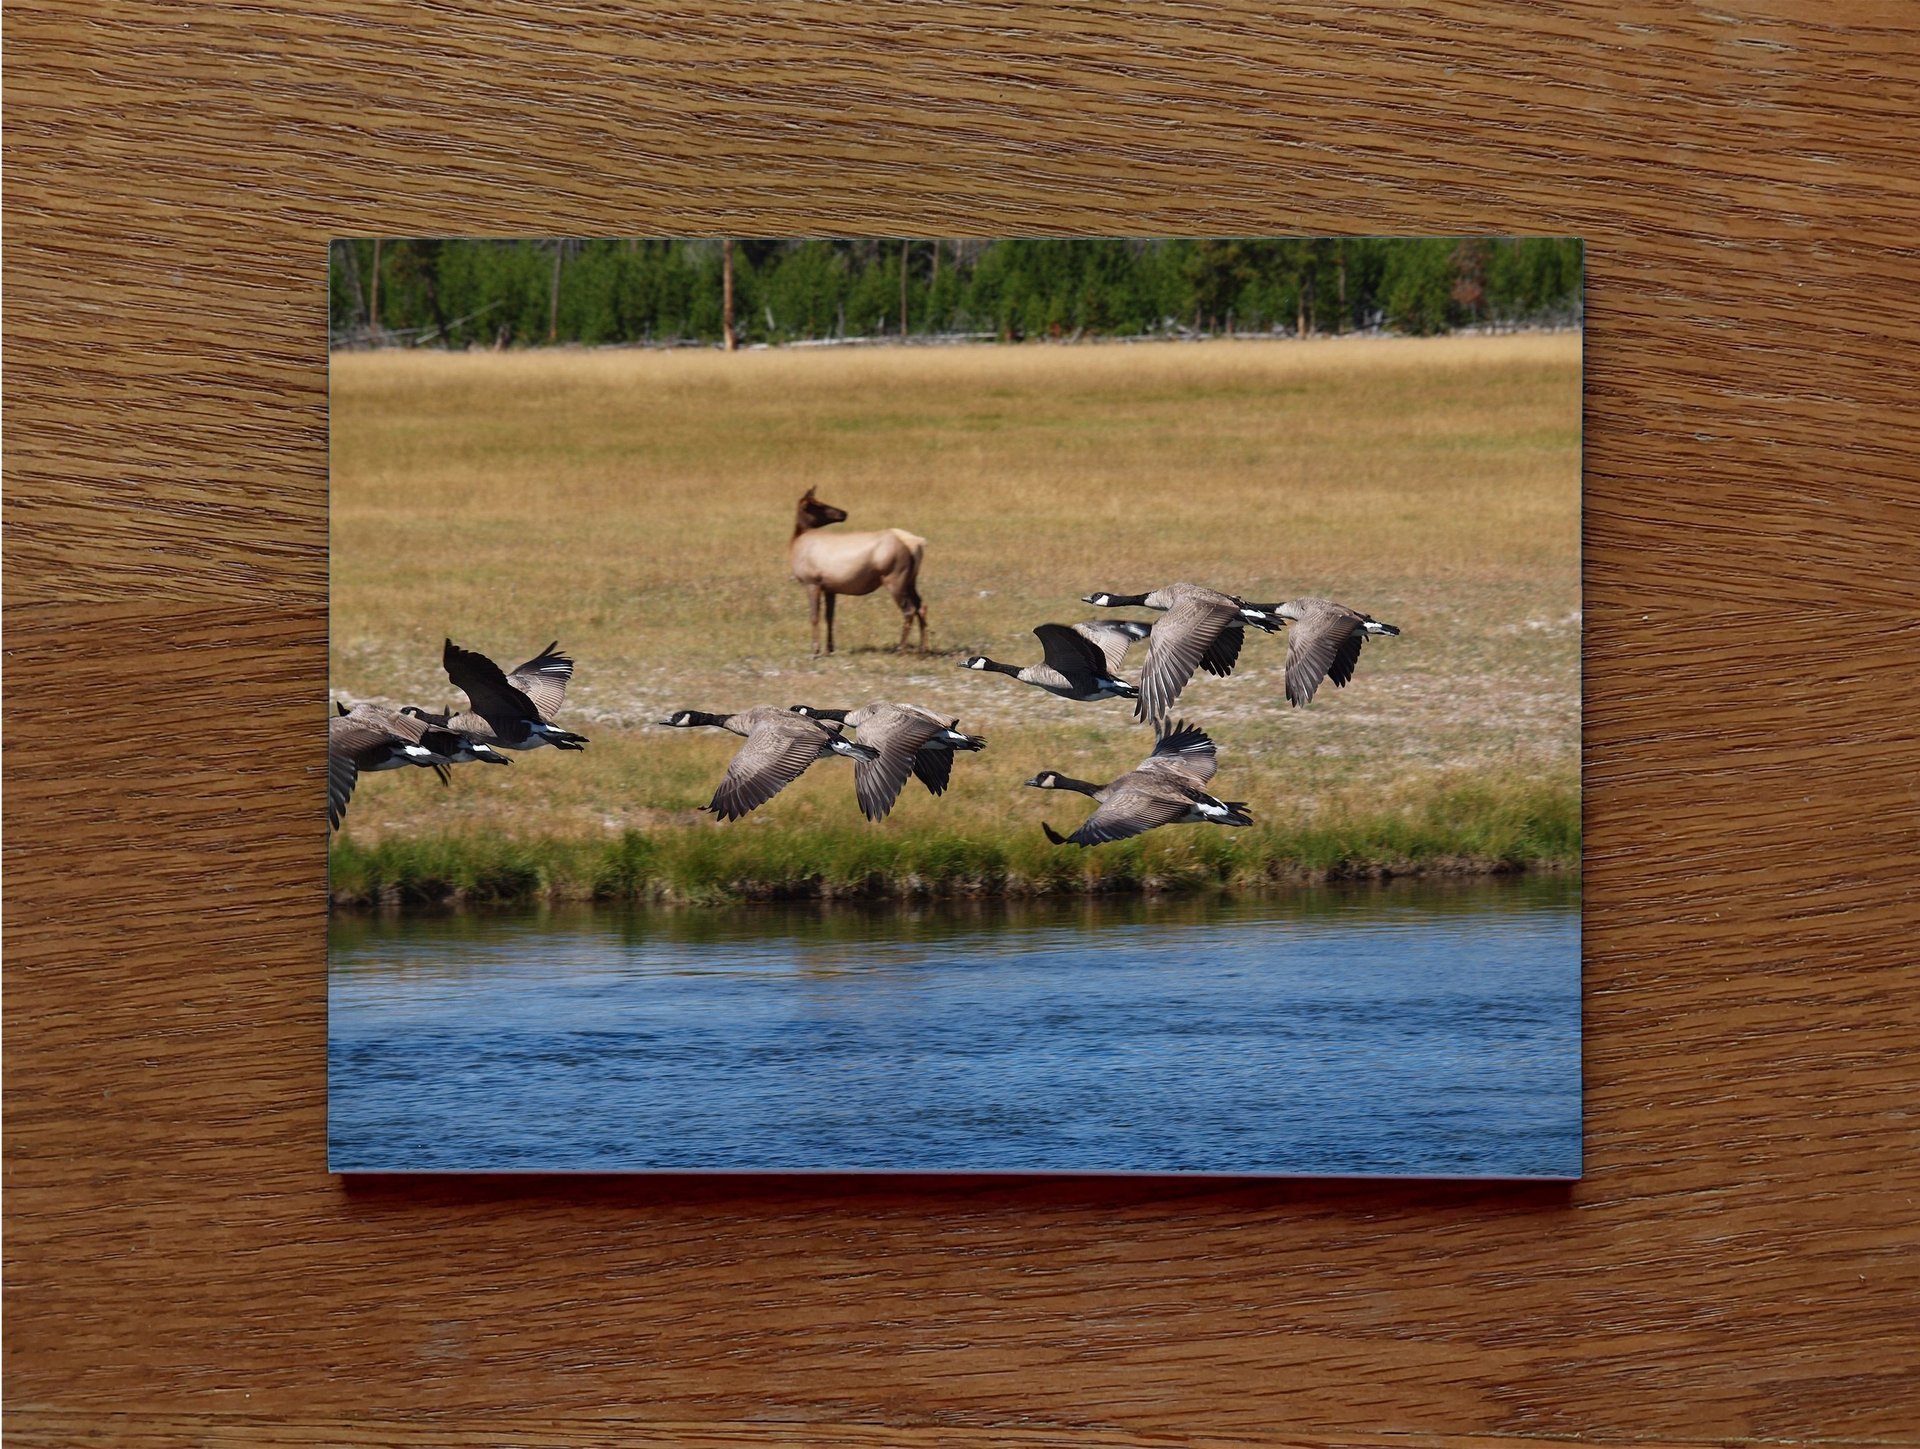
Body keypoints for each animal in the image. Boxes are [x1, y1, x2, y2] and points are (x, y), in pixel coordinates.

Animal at [783, 491, 925, 664]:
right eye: (817, 504)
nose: (843, 513)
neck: (796, 542)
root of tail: (916, 544)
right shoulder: (830, 588)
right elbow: (829, 617)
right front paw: (828, 650)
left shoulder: (812, 583)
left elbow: (814, 617)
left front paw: (815, 651)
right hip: (911, 580)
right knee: (921, 606)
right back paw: (922, 649)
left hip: (895, 579)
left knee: (909, 609)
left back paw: (902, 650)